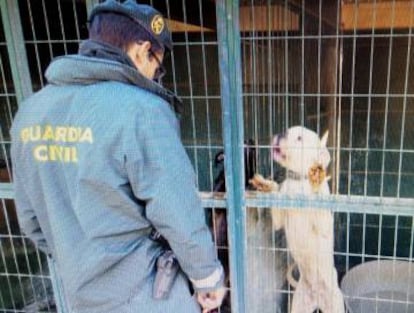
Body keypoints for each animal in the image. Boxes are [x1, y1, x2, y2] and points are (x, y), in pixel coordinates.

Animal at [251, 125, 344, 312]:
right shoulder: (279, 218)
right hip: (299, 303)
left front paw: (318, 180)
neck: (298, 181)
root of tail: (317, 297)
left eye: (300, 138)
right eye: (287, 130)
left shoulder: (325, 224)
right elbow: (277, 194)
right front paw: (267, 185)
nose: (280, 134)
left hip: (335, 303)